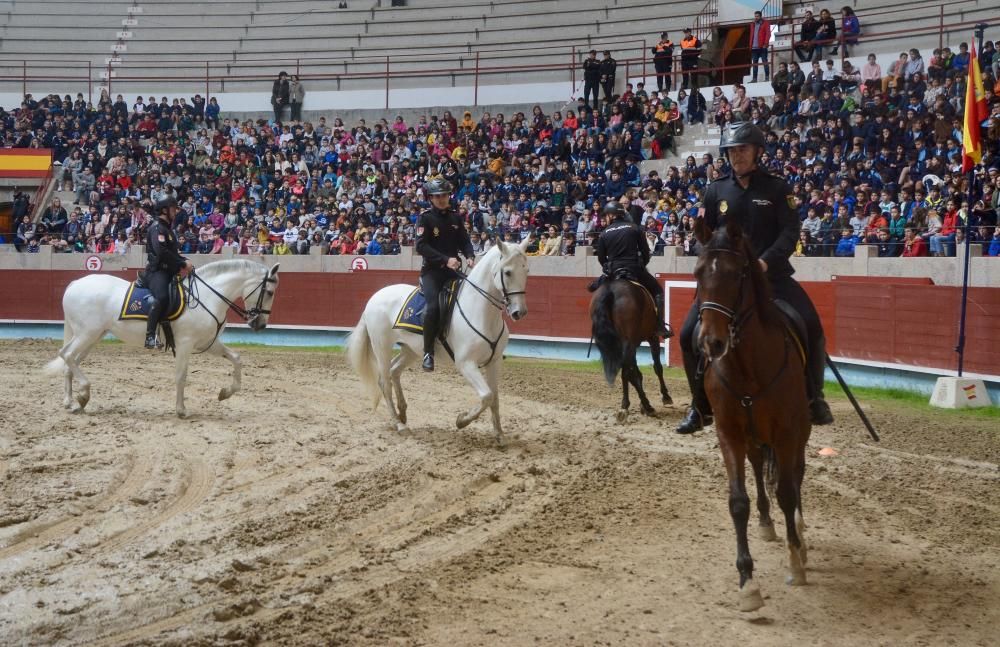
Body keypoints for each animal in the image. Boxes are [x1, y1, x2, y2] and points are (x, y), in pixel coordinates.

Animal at [45, 260, 280, 418]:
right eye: (269, 292)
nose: (260, 325)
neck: (206, 297)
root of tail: (76, 284)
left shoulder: (209, 343)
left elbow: (236, 358)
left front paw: (225, 393)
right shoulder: (185, 344)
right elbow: (181, 376)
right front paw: (181, 410)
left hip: (92, 336)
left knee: (70, 362)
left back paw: (71, 402)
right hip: (87, 334)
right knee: (67, 355)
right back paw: (83, 394)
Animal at [348, 238, 532, 446]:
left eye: (526, 270)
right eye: (507, 272)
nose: (519, 312)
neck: (482, 313)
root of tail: (374, 298)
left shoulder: (494, 362)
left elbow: (495, 398)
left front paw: (499, 435)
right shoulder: (466, 363)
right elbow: (487, 396)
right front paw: (461, 420)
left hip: (411, 350)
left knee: (395, 370)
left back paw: (403, 412)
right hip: (382, 347)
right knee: (384, 382)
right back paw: (399, 424)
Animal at [584, 280, 672, 426]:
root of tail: (611, 289)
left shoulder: (632, 345)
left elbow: (636, 372)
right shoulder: (651, 338)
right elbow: (657, 367)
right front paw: (666, 396)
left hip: (619, 344)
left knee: (627, 372)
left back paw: (632, 406)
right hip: (629, 341)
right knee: (627, 371)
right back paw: (642, 406)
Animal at [696, 218, 812, 612]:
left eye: (737, 274)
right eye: (698, 272)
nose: (711, 342)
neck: (747, 366)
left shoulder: (788, 432)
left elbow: (788, 492)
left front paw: (795, 562)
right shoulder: (729, 433)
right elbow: (738, 502)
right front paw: (747, 581)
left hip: (799, 433)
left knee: (795, 476)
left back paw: (799, 536)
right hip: (752, 437)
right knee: (760, 468)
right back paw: (766, 522)